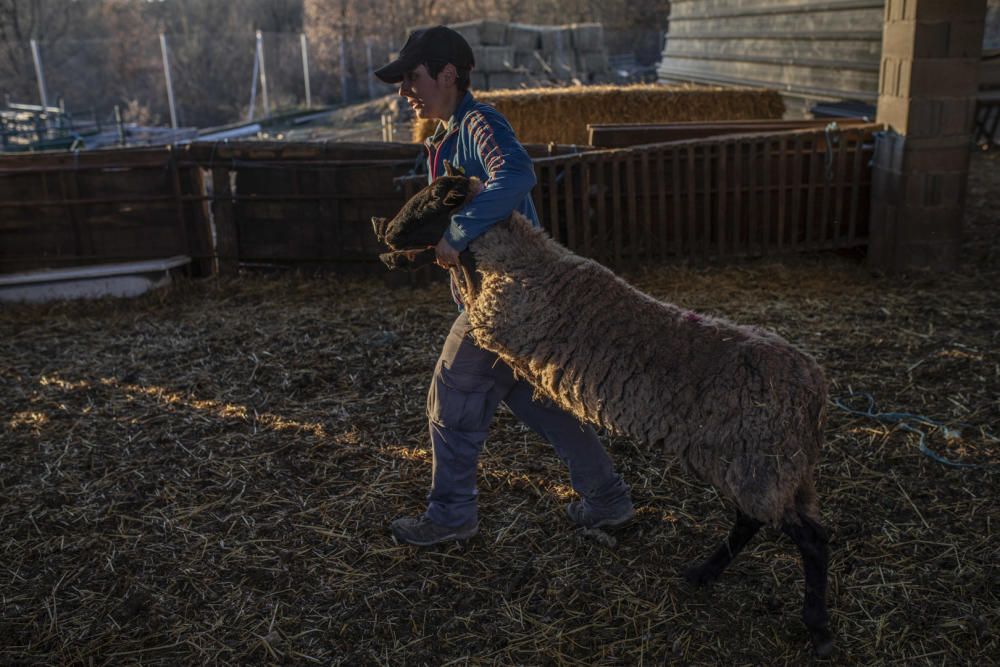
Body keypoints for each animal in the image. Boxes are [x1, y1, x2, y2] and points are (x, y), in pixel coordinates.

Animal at [372, 168, 832, 656]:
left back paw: (816, 626)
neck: (514, 263)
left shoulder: (503, 329)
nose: (383, 230)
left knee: (805, 537)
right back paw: (702, 574)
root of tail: (814, 389)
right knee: (755, 521)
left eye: (431, 202)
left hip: (759, 462)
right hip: (759, 466)